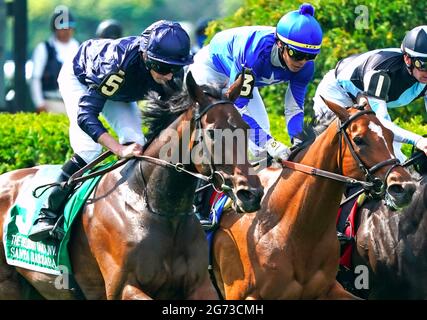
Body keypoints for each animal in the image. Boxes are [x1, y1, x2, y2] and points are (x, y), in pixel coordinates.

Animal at [0, 72, 264, 300]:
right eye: (212, 133)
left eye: (245, 128)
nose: (251, 193)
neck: (155, 207)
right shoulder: (123, 287)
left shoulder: (200, 286)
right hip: (9, 285)